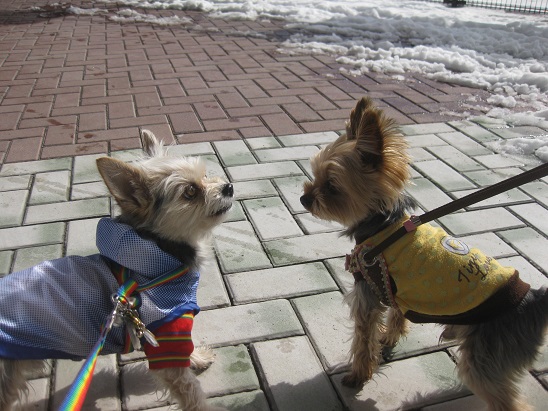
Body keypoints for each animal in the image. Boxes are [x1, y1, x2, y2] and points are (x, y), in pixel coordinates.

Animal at [0, 131, 233, 411]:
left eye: (206, 175)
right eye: (190, 191)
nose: (228, 187)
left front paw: (197, 357)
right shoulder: (167, 332)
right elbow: (191, 392)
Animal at [302, 98, 544, 410]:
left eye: (331, 186)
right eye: (315, 175)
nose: (304, 198)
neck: (383, 224)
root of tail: (536, 301)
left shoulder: (368, 292)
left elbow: (363, 340)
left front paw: (358, 375)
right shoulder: (395, 289)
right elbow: (396, 317)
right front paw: (388, 339)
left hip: (486, 357)